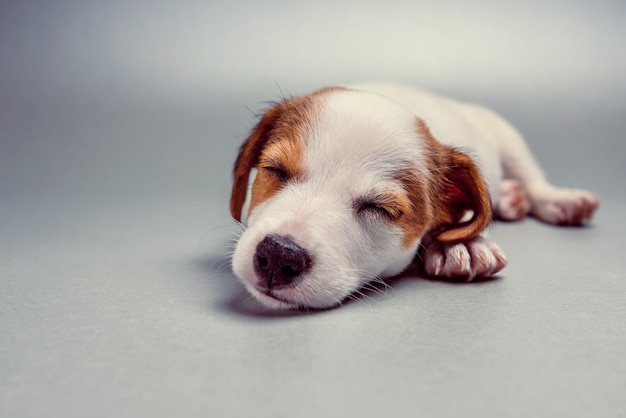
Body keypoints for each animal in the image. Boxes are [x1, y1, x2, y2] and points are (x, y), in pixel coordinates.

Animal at [227, 82, 596, 310]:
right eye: (275, 169)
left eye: (379, 208)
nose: (279, 255)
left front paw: (463, 244)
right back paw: (508, 197)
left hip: (507, 136)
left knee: (534, 181)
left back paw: (560, 200)